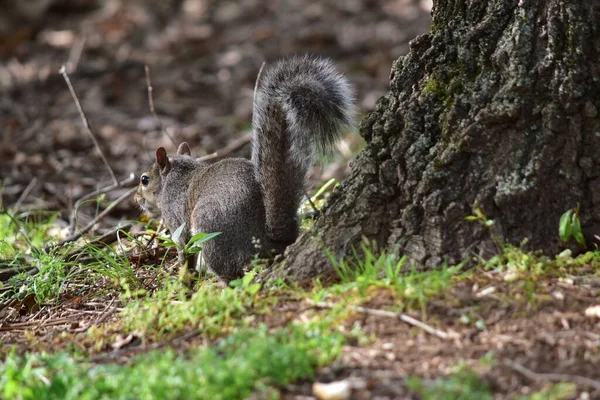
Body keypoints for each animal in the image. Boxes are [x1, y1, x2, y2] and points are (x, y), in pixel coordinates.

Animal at [134, 56, 354, 282]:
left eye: (144, 179)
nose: (136, 198)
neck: (175, 175)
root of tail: (266, 239)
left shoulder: (175, 218)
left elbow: (184, 250)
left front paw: (183, 278)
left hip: (210, 228)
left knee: (230, 275)